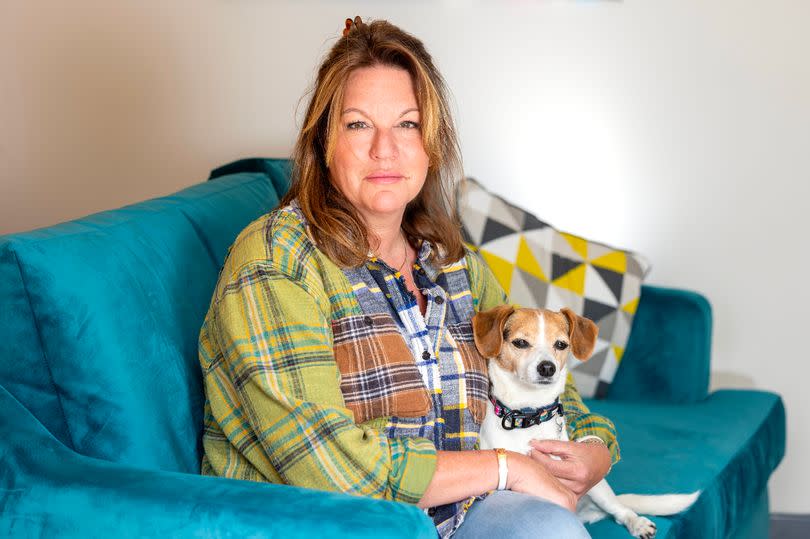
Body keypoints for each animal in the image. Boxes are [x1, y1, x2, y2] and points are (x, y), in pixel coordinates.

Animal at [470, 306, 696, 536]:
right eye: (521, 342)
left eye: (561, 345)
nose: (547, 367)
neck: (529, 413)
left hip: (598, 487)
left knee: (620, 510)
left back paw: (637, 523)